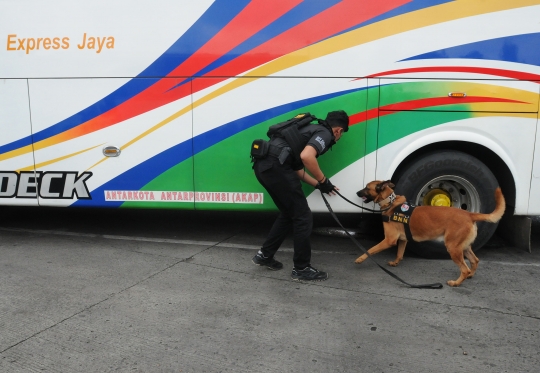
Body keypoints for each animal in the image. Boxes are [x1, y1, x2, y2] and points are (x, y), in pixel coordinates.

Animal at [356, 180, 504, 284]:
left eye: (366, 188)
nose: (357, 193)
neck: (391, 203)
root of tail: (469, 214)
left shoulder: (389, 240)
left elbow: (370, 250)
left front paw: (360, 259)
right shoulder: (403, 239)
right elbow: (400, 253)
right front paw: (395, 262)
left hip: (453, 248)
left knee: (464, 268)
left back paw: (456, 283)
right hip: (463, 247)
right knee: (475, 261)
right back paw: (470, 275)